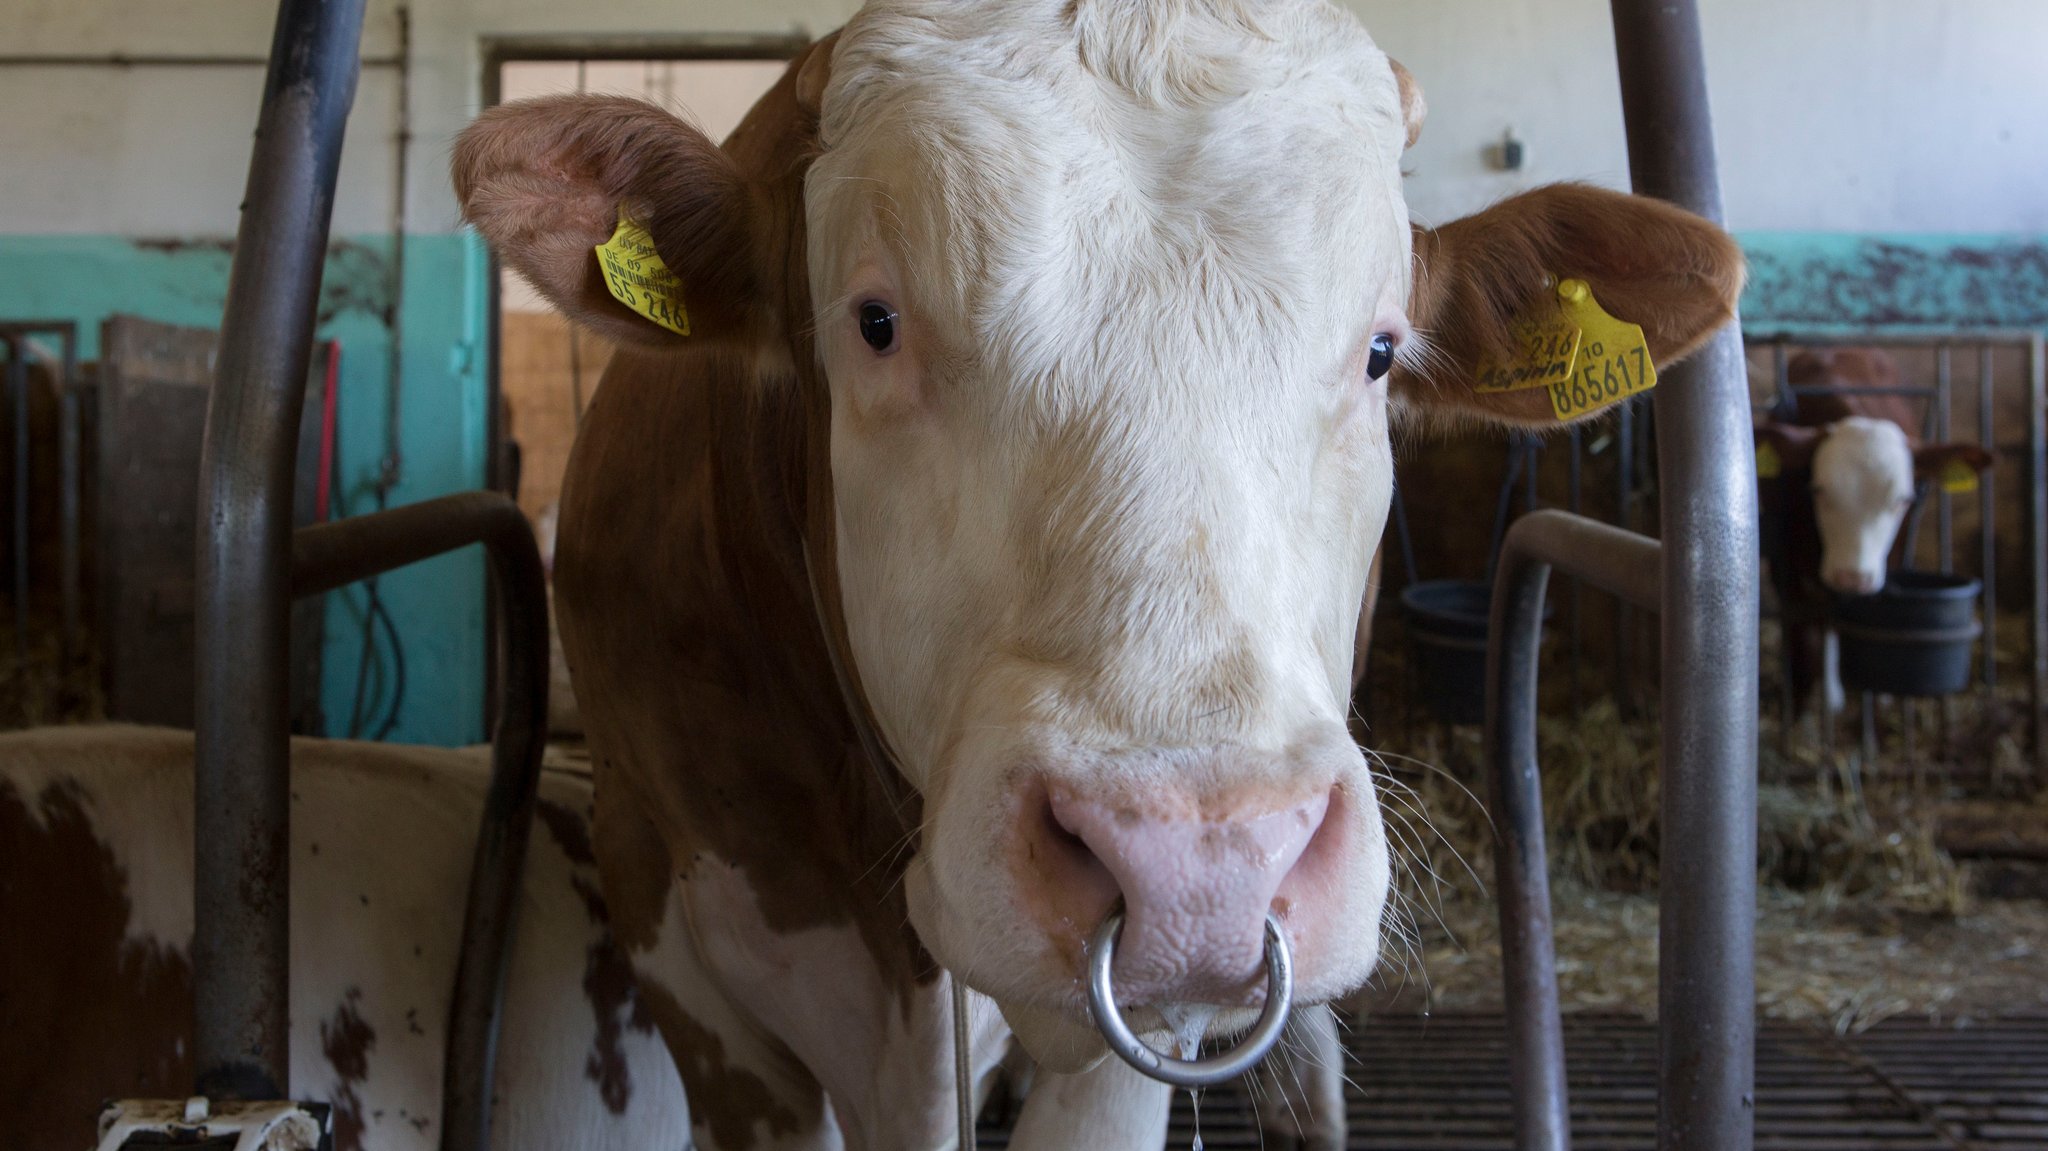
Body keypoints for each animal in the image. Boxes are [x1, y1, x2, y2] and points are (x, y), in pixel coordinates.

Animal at [1753, 344, 1990, 712]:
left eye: (1903, 500)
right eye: (1817, 489)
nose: (1853, 577)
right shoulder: (1784, 559)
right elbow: (1803, 630)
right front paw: (1804, 703)